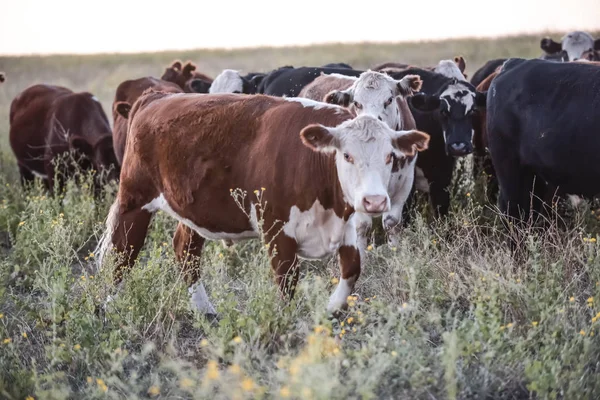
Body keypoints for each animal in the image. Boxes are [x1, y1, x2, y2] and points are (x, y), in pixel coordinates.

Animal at [96, 90, 428, 316]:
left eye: (390, 156)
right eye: (346, 155)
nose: (374, 201)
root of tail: (155, 96)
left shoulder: (344, 225)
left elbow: (352, 269)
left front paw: (329, 310)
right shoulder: (277, 229)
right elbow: (287, 281)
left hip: (194, 212)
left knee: (185, 251)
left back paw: (204, 309)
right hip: (134, 200)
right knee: (123, 253)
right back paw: (110, 307)